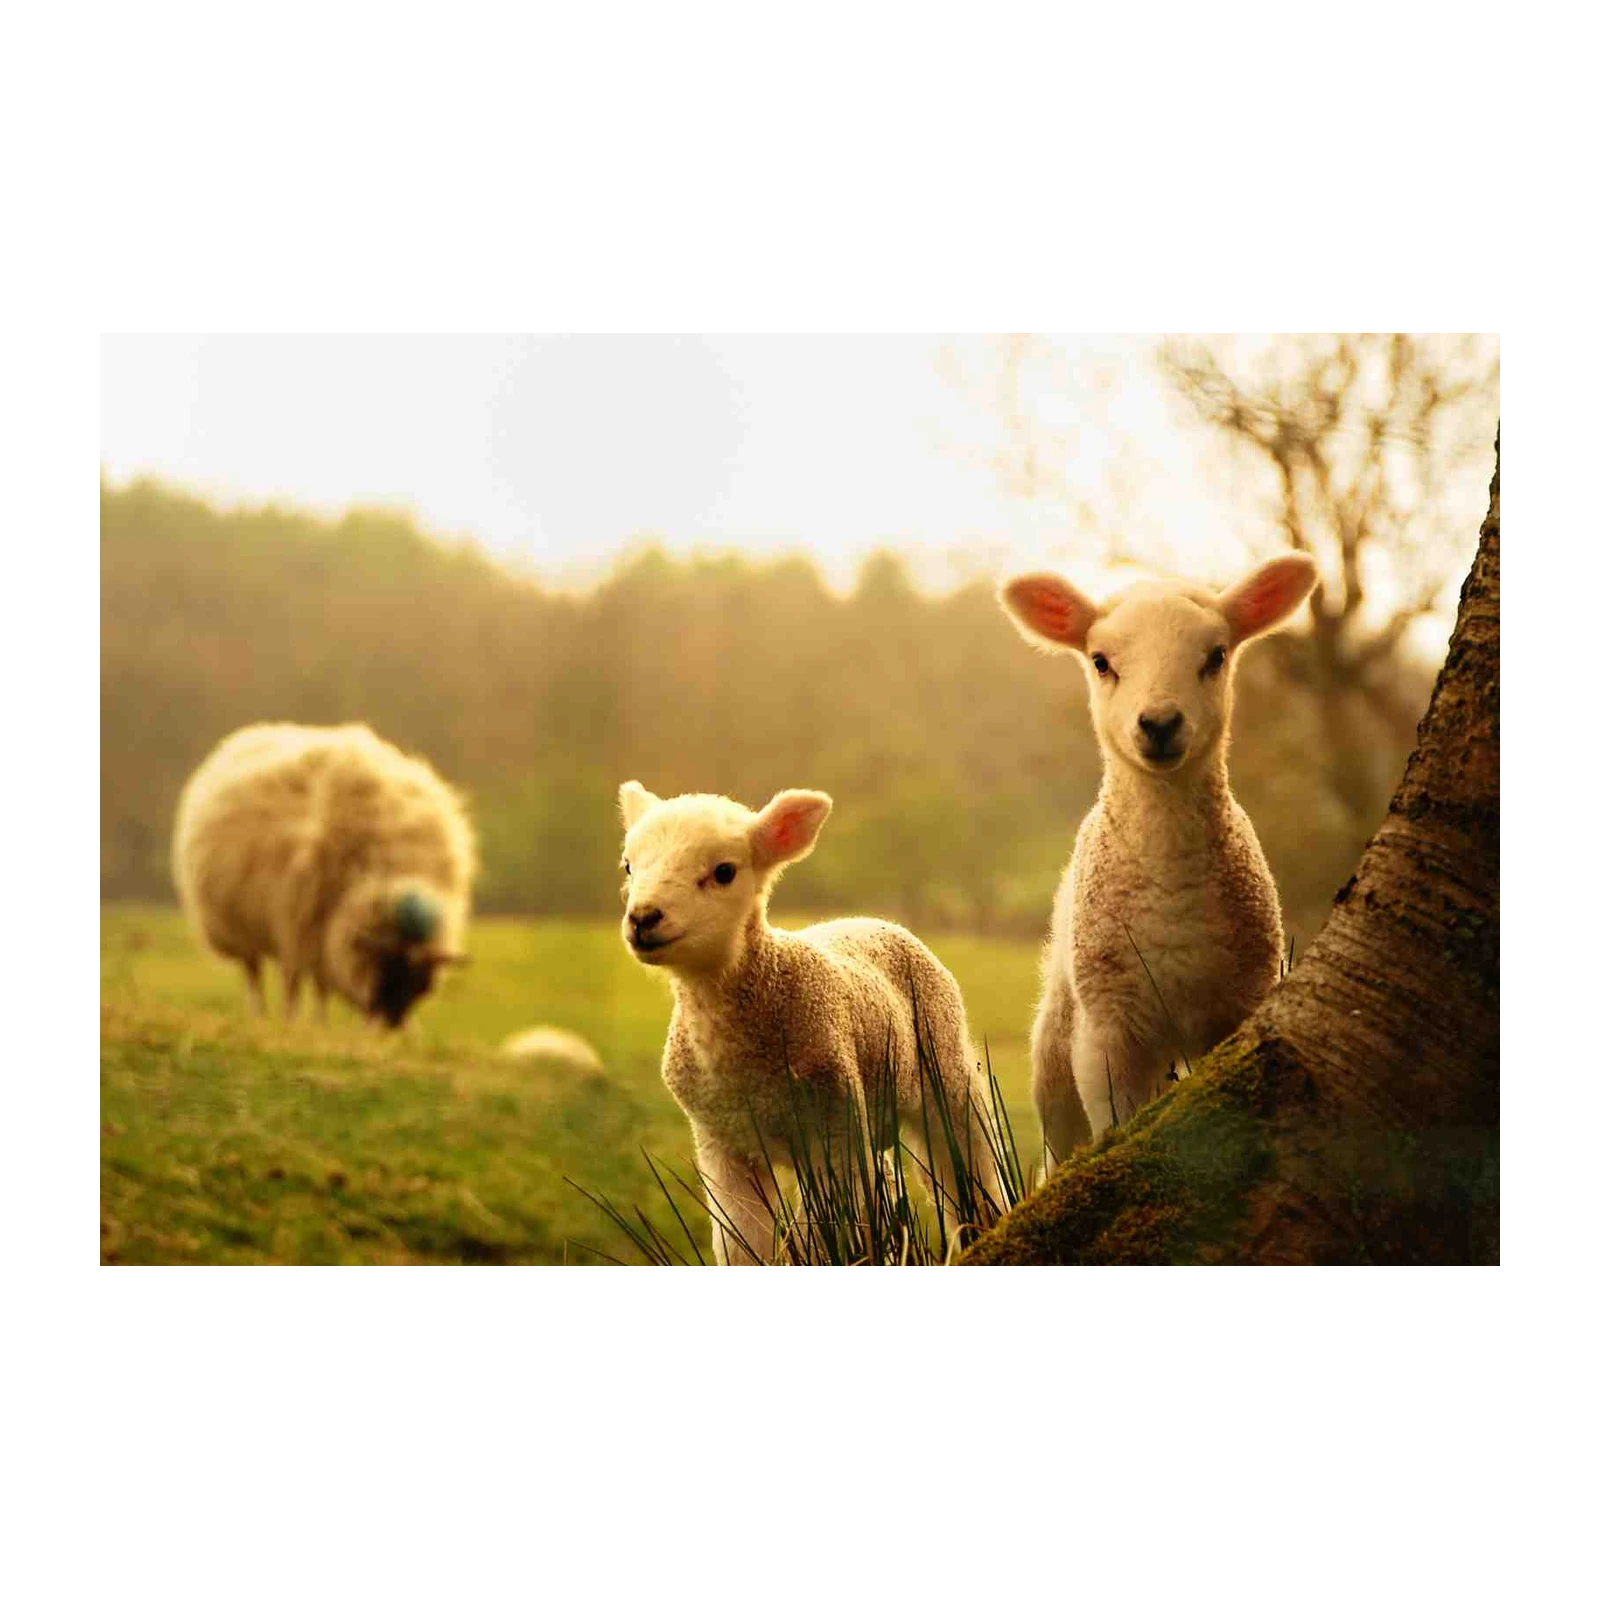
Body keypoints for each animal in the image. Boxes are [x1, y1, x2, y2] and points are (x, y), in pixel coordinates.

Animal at [171, 722, 477, 1028]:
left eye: (422, 984)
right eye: (388, 968)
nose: (391, 1027)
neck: (387, 871)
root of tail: (246, 736)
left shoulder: (322, 934)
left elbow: (322, 986)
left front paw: (320, 1025)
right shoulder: (298, 925)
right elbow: (298, 984)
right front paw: (296, 1023)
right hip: (237, 928)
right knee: (254, 974)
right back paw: (261, 1016)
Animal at [617, 781, 1007, 1266]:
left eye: (724, 871)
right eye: (629, 866)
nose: (643, 918)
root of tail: (874, 919)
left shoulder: (833, 1130)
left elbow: (825, 1236)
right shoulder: (723, 1145)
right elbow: (742, 1244)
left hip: (945, 1070)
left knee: (969, 1170)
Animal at [998, 553, 1320, 1167]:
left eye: (1216, 656)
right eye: (1101, 661)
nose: (1160, 723)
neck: (1170, 883)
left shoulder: (1236, 1005)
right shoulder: (1108, 1029)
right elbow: (1113, 1125)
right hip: (1056, 1045)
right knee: (1058, 1144)